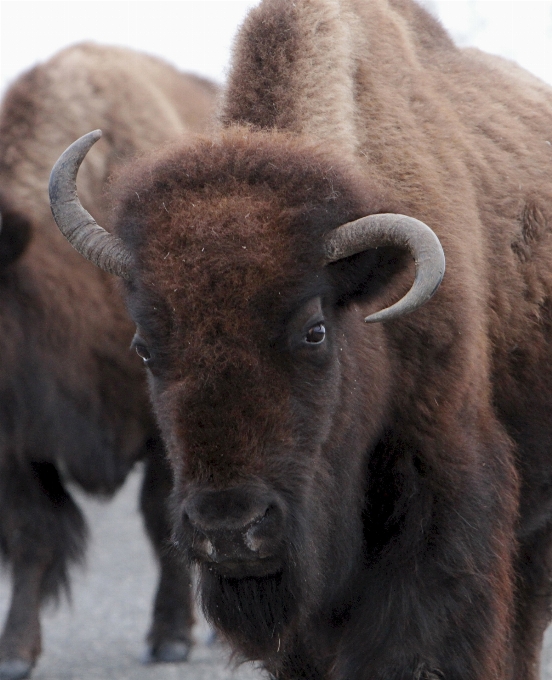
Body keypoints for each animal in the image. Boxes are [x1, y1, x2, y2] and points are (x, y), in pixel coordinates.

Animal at [0, 43, 219, 680]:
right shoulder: (18, 444)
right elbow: (31, 536)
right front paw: (15, 653)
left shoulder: (164, 427)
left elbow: (163, 521)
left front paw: (169, 639)